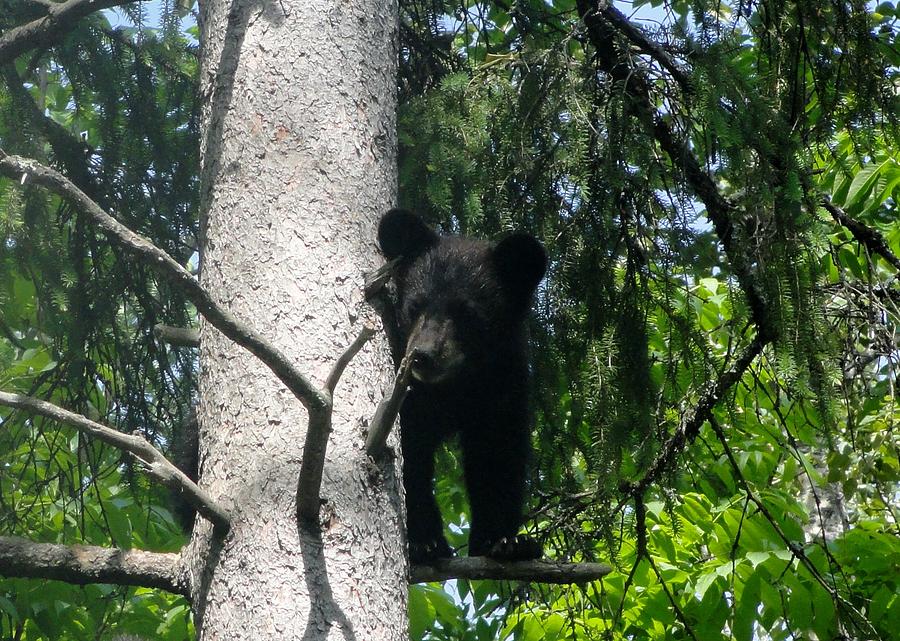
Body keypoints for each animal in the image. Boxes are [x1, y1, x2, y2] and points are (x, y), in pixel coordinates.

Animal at [374, 209, 544, 560]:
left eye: (467, 313)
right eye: (415, 305)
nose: (422, 354)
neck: (453, 386)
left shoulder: (503, 385)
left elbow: (497, 454)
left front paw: (504, 540)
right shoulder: (408, 402)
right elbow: (411, 459)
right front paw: (425, 541)